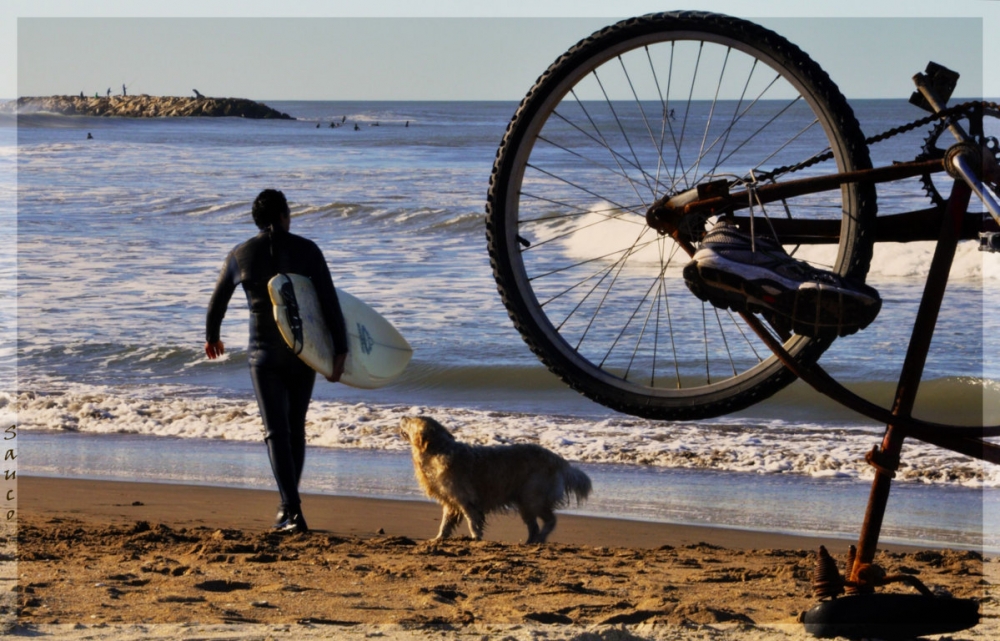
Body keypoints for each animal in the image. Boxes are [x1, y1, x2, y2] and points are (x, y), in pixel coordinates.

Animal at [398, 412, 588, 544]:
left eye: (411, 420)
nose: (402, 416)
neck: (438, 450)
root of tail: (559, 461)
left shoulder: (466, 499)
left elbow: (472, 521)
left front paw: (475, 538)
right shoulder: (451, 502)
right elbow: (445, 524)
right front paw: (438, 538)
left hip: (533, 497)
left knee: (551, 520)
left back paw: (540, 538)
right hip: (525, 503)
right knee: (533, 526)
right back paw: (529, 542)